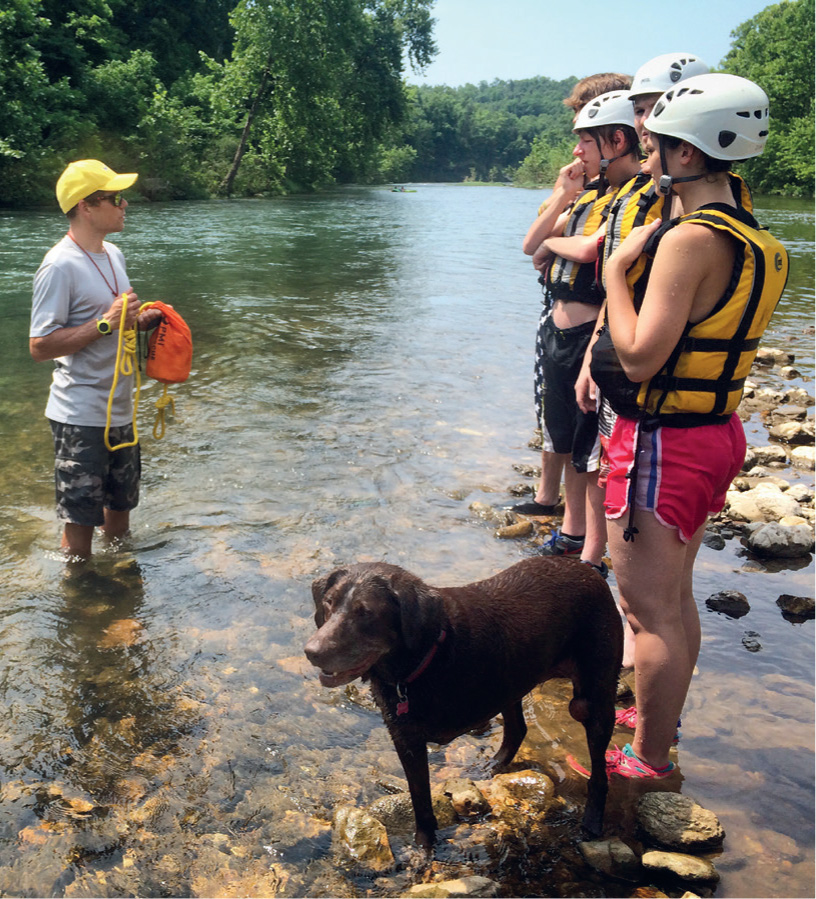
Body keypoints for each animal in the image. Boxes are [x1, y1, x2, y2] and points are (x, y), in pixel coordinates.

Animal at [302, 560, 620, 848]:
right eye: (328, 603)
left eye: (365, 612)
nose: (311, 651)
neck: (426, 657)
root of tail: (589, 571)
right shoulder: (405, 738)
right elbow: (420, 798)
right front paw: (424, 845)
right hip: (510, 682)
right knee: (517, 729)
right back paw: (494, 765)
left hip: (593, 699)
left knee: (599, 773)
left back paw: (592, 822)